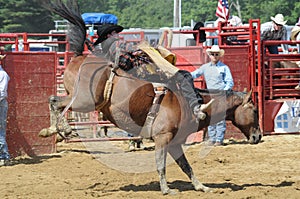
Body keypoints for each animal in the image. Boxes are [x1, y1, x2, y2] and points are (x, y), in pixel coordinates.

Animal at [40, 0, 262, 195]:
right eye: (254, 110)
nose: (258, 136)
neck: (186, 104)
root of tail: (78, 56)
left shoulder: (175, 142)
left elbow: (186, 166)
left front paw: (201, 187)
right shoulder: (163, 138)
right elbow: (161, 164)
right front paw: (166, 189)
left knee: (54, 101)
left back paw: (52, 130)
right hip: (85, 100)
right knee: (56, 102)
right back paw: (63, 129)